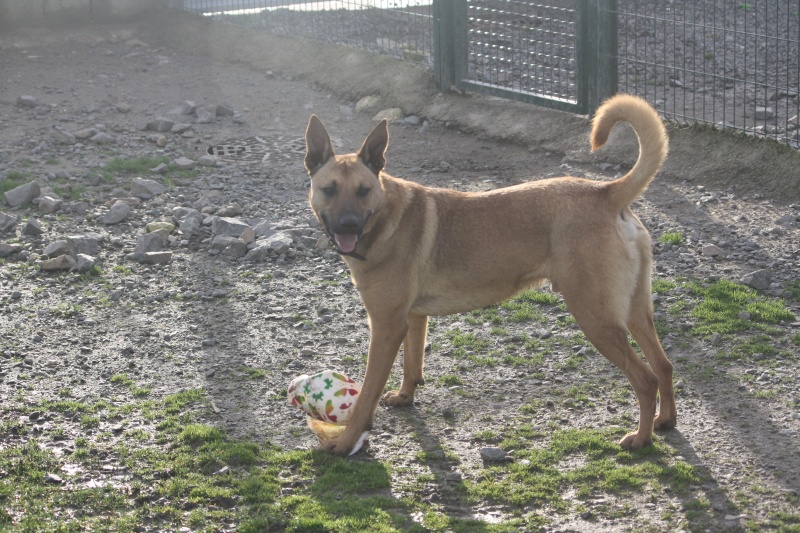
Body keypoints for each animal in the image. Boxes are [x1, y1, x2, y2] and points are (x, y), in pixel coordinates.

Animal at [304, 93, 676, 456]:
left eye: (363, 190)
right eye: (330, 189)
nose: (348, 226)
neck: (384, 218)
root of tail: (606, 192)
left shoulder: (385, 326)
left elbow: (367, 395)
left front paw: (346, 442)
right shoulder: (413, 317)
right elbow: (413, 364)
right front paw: (406, 396)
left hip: (595, 316)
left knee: (646, 379)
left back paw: (641, 438)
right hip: (634, 312)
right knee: (664, 365)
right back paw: (665, 420)